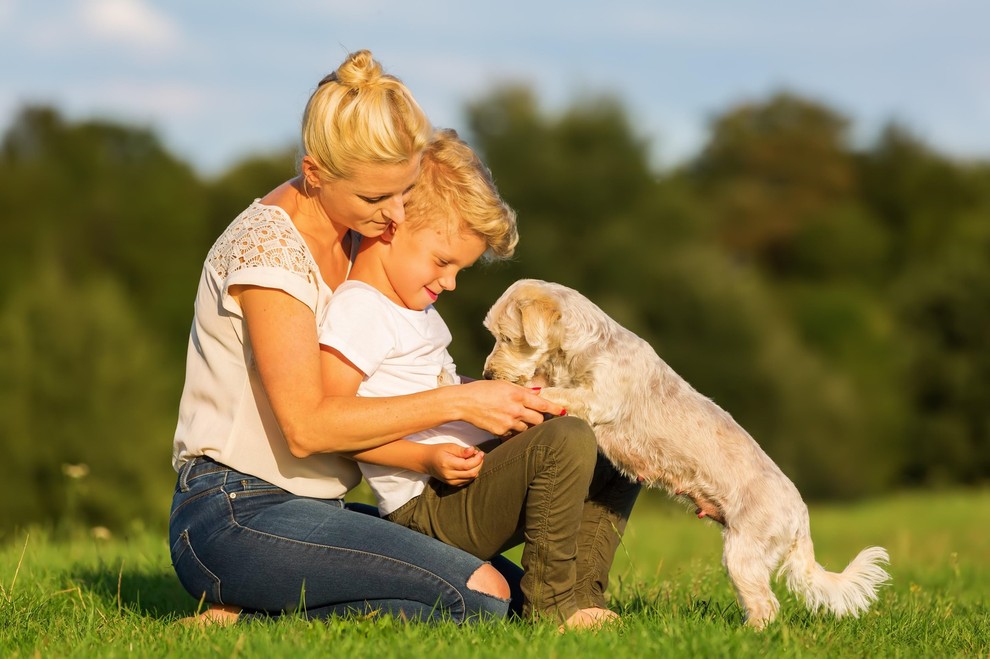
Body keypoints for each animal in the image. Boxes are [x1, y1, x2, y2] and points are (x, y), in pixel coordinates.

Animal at [480, 278, 892, 628]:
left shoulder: (599, 398)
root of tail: (801, 517)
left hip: (743, 555)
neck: (586, 346)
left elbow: (555, 394)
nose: (486, 376)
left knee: (766, 606)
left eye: (508, 337)